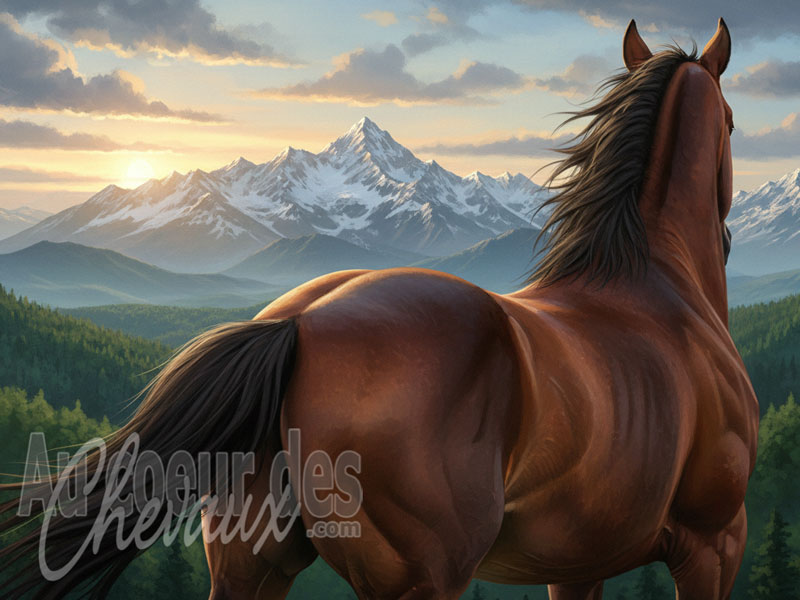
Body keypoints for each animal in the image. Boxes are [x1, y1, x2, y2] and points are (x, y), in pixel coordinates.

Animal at [0, 18, 759, 600]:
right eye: (731, 120)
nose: (730, 235)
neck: (656, 285)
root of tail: (297, 325)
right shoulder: (713, 543)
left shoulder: (578, 564)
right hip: (420, 577)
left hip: (252, 566)